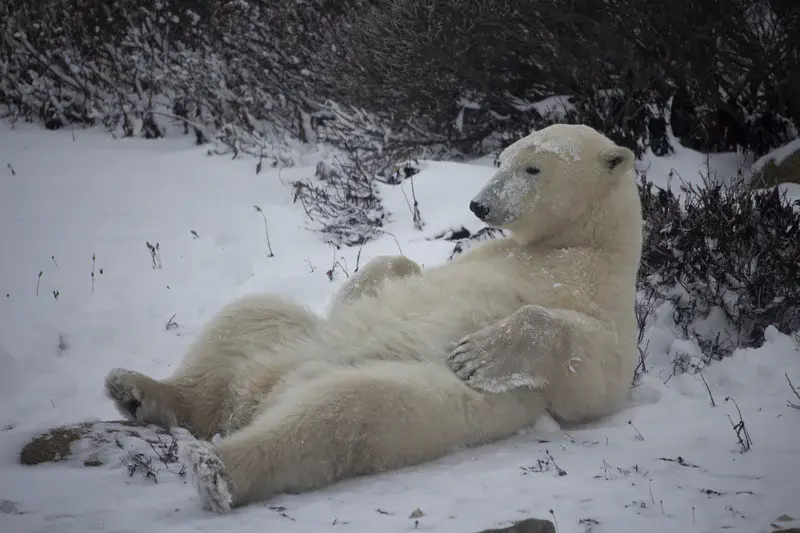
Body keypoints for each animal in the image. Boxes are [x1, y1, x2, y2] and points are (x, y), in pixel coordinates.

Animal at [103, 123, 643, 514]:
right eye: (502, 159)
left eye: (532, 168)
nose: (480, 204)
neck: (576, 246)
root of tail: (253, 397)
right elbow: (398, 269)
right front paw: (373, 281)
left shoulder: (603, 299)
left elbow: (593, 376)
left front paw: (477, 353)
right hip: (285, 342)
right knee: (248, 317)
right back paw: (138, 390)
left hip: (408, 394)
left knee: (340, 411)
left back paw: (213, 467)